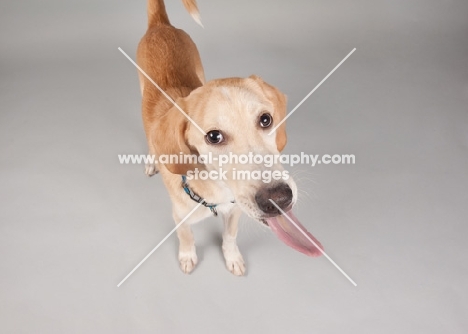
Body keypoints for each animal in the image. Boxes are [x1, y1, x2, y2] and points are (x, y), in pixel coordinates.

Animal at [134, 0, 322, 276]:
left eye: (266, 120)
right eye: (213, 136)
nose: (279, 200)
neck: (215, 191)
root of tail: (161, 26)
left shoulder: (234, 211)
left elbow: (230, 236)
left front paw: (232, 258)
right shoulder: (180, 217)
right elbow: (186, 237)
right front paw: (187, 256)